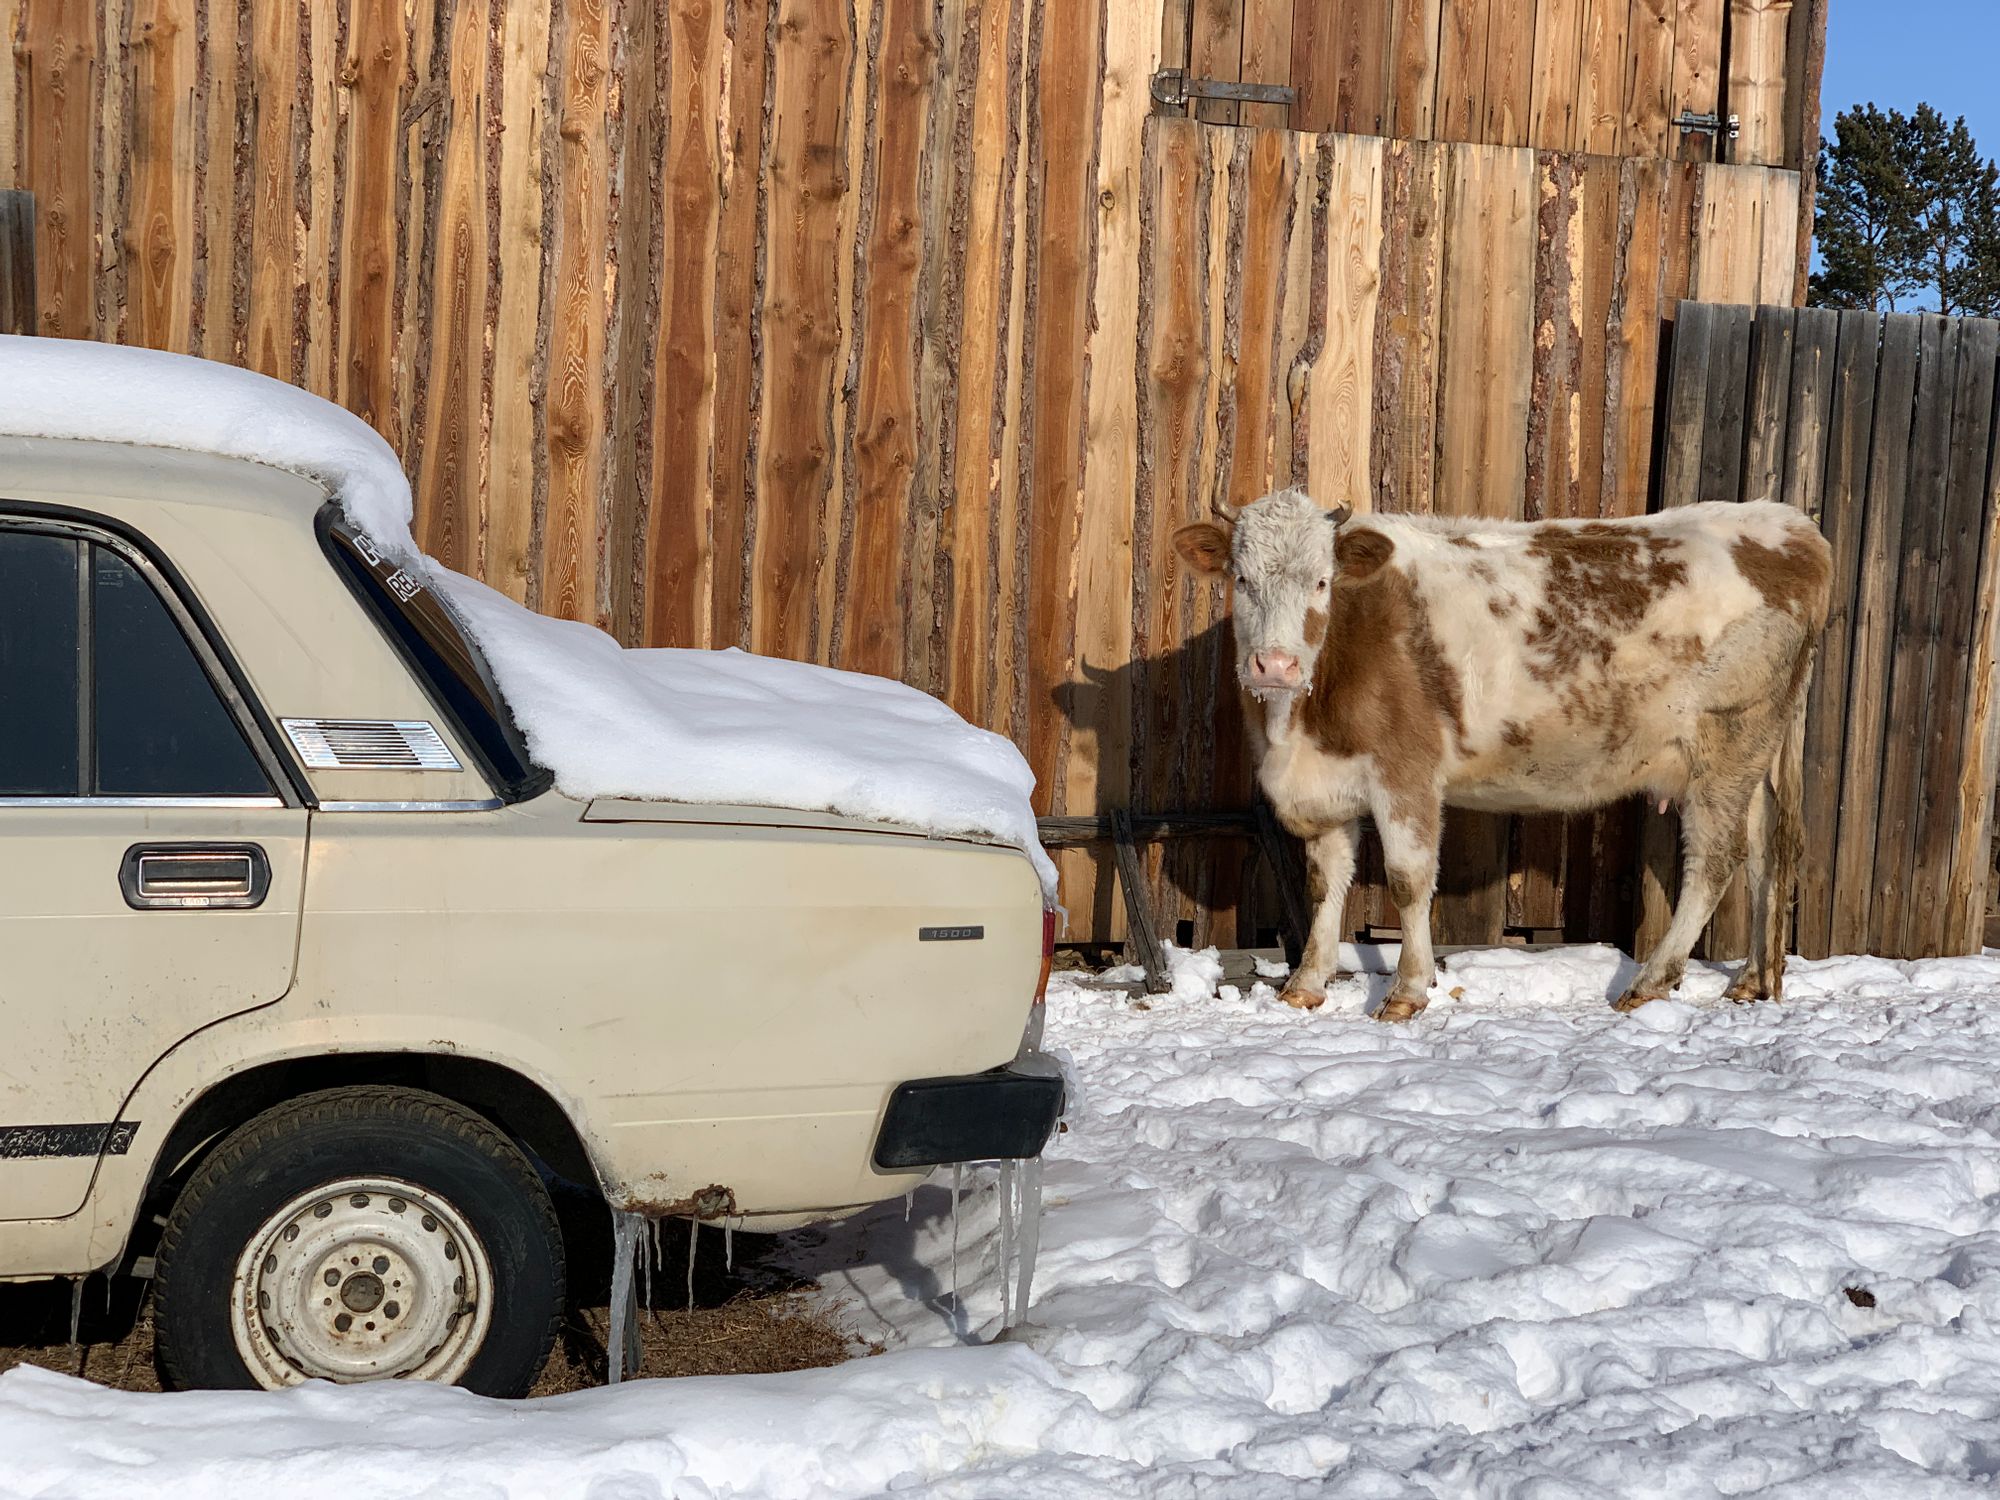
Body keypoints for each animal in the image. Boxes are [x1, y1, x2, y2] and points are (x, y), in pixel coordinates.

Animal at [1168, 494, 1832, 1024]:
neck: (1297, 730)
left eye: (1322, 582)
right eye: (1241, 579)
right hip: (1753, 757)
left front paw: (1407, 992)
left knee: (1715, 860)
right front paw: (1306, 985)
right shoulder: (1328, 783)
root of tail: (1789, 524)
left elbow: (1408, 881)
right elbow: (1324, 882)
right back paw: (1751, 981)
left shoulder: (1406, 773)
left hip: (1727, 743)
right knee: (1767, 847)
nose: (1275, 665)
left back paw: (1649, 982)